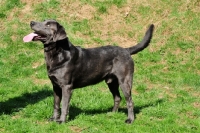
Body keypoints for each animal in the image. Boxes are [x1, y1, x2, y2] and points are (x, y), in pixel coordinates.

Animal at [23, 19, 155, 123]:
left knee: (130, 101)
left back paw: (130, 120)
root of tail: (126, 50)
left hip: (124, 81)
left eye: (48, 25)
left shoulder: (66, 87)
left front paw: (61, 121)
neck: (57, 53)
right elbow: (56, 104)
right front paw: (53, 119)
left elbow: (64, 105)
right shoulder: (55, 86)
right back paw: (112, 113)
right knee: (117, 98)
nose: (31, 22)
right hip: (111, 82)